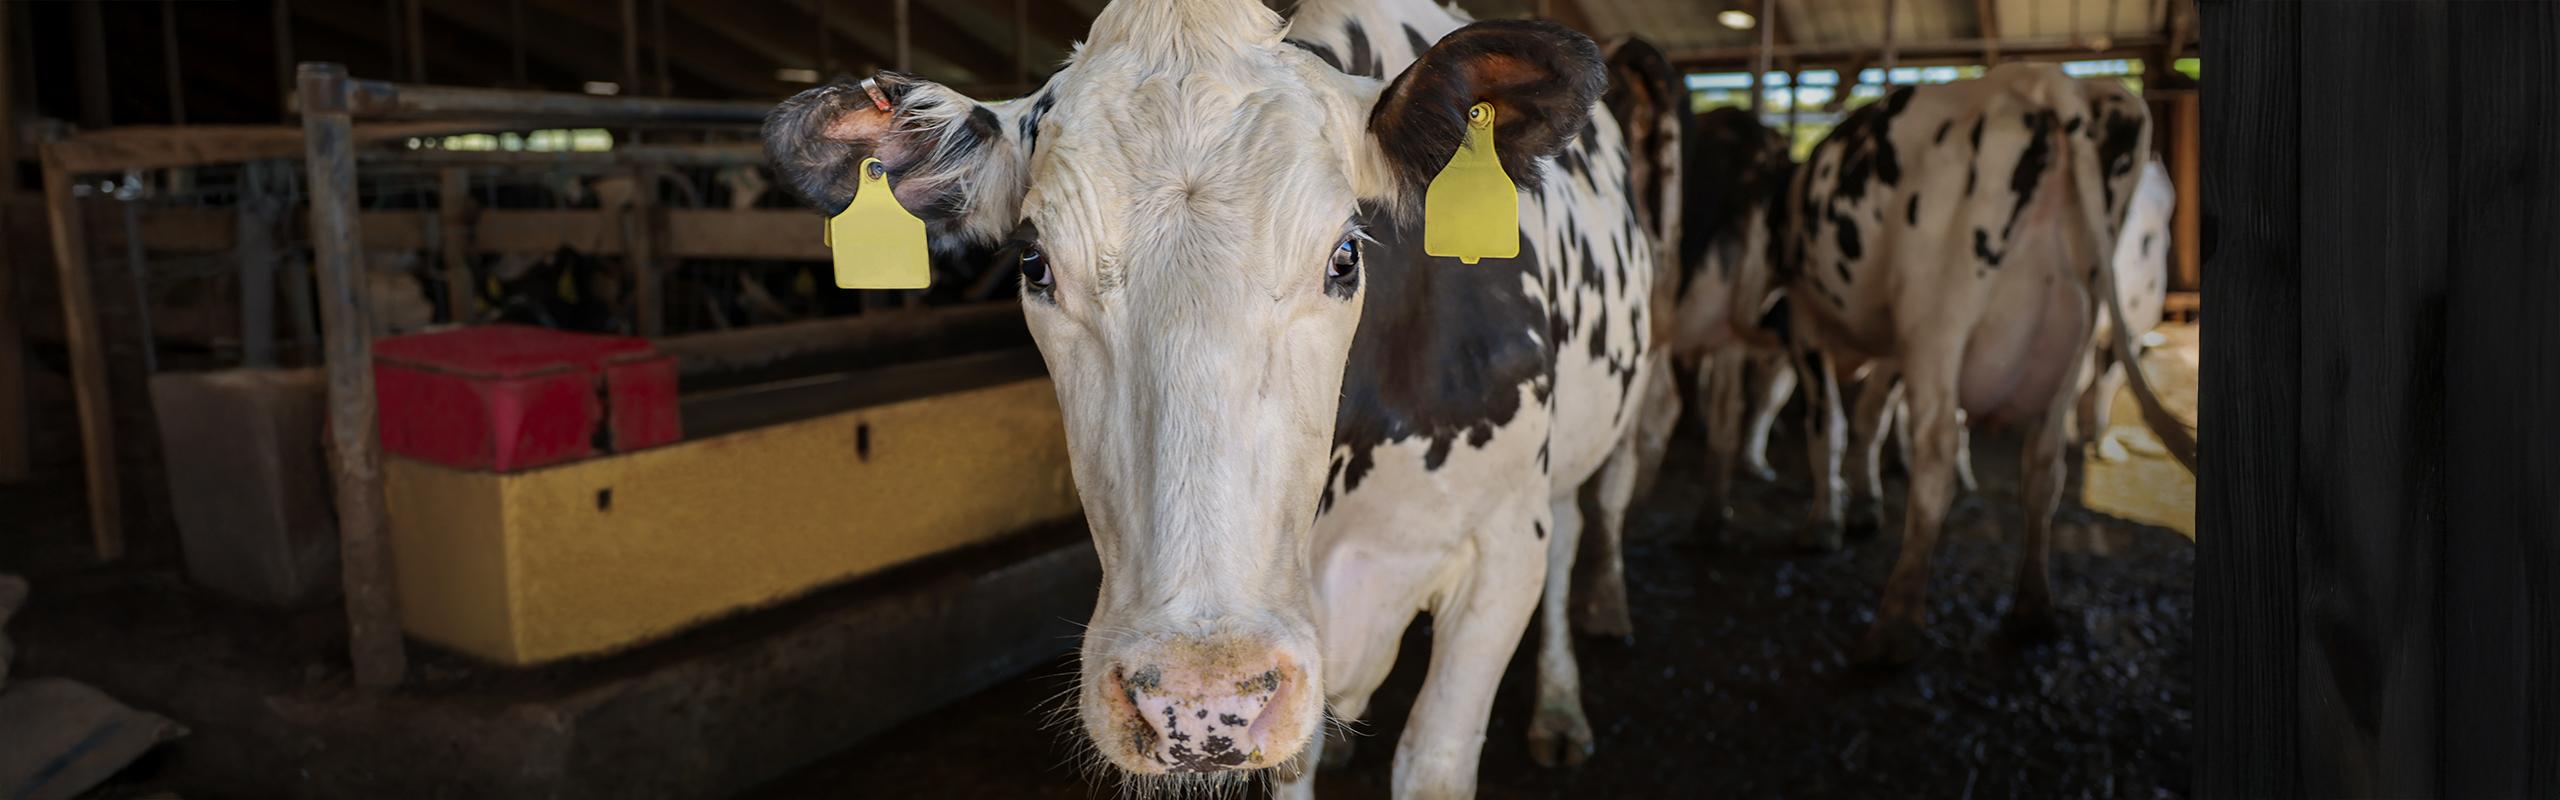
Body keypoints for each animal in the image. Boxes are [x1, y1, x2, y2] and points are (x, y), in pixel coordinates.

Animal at [761, 0, 1671, 795]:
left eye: (1345, 256)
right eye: (1034, 264)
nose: (1198, 702)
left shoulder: (1500, 551)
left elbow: (1435, 759)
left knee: (1586, 519)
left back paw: (1562, 704)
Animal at [1755, 65, 2196, 665]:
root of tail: (2044, 79)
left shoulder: (1806, 319)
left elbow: (1831, 426)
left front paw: (1825, 524)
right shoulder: (1894, 344)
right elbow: (1869, 418)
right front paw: (1865, 504)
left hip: (1940, 319)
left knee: (1936, 460)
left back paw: (1895, 626)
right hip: (2071, 337)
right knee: (2043, 468)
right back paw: (2031, 610)